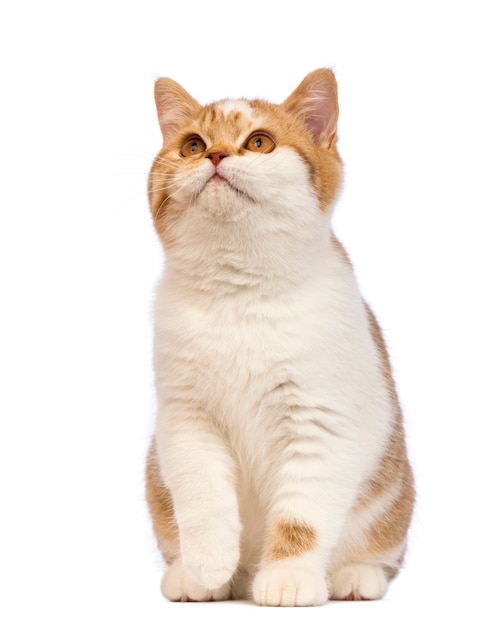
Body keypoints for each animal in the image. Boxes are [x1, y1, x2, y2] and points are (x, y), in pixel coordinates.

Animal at [144, 68, 414, 604]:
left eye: (259, 142)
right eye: (191, 145)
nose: (215, 155)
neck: (240, 293)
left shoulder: (320, 421)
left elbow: (302, 516)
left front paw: (288, 578)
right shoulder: (186, 418)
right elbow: (201, 492)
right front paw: (208, 562)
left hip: (394, 492)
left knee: (379, 549)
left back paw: (354, 578)